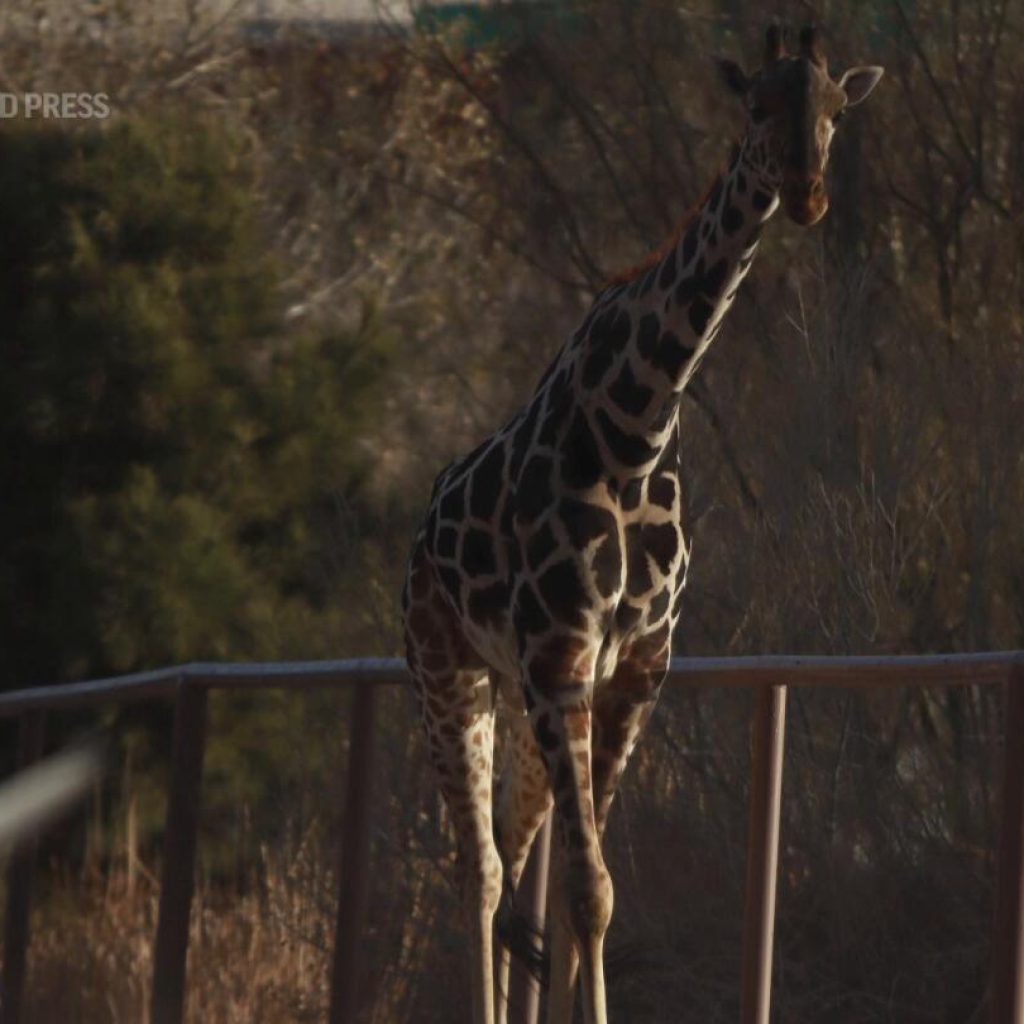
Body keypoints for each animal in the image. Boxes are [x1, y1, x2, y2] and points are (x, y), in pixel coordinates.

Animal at [403, 24, 884, 1024]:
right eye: (756, 103)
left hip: (515, 694)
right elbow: (588, 889)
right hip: (445, 668)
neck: (633, 428)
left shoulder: (635, 666)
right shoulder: (560, 659)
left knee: (514, 867)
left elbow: (588, 892)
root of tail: (419, 534)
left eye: (836, 108)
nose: (809, 194)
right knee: (478, 872)